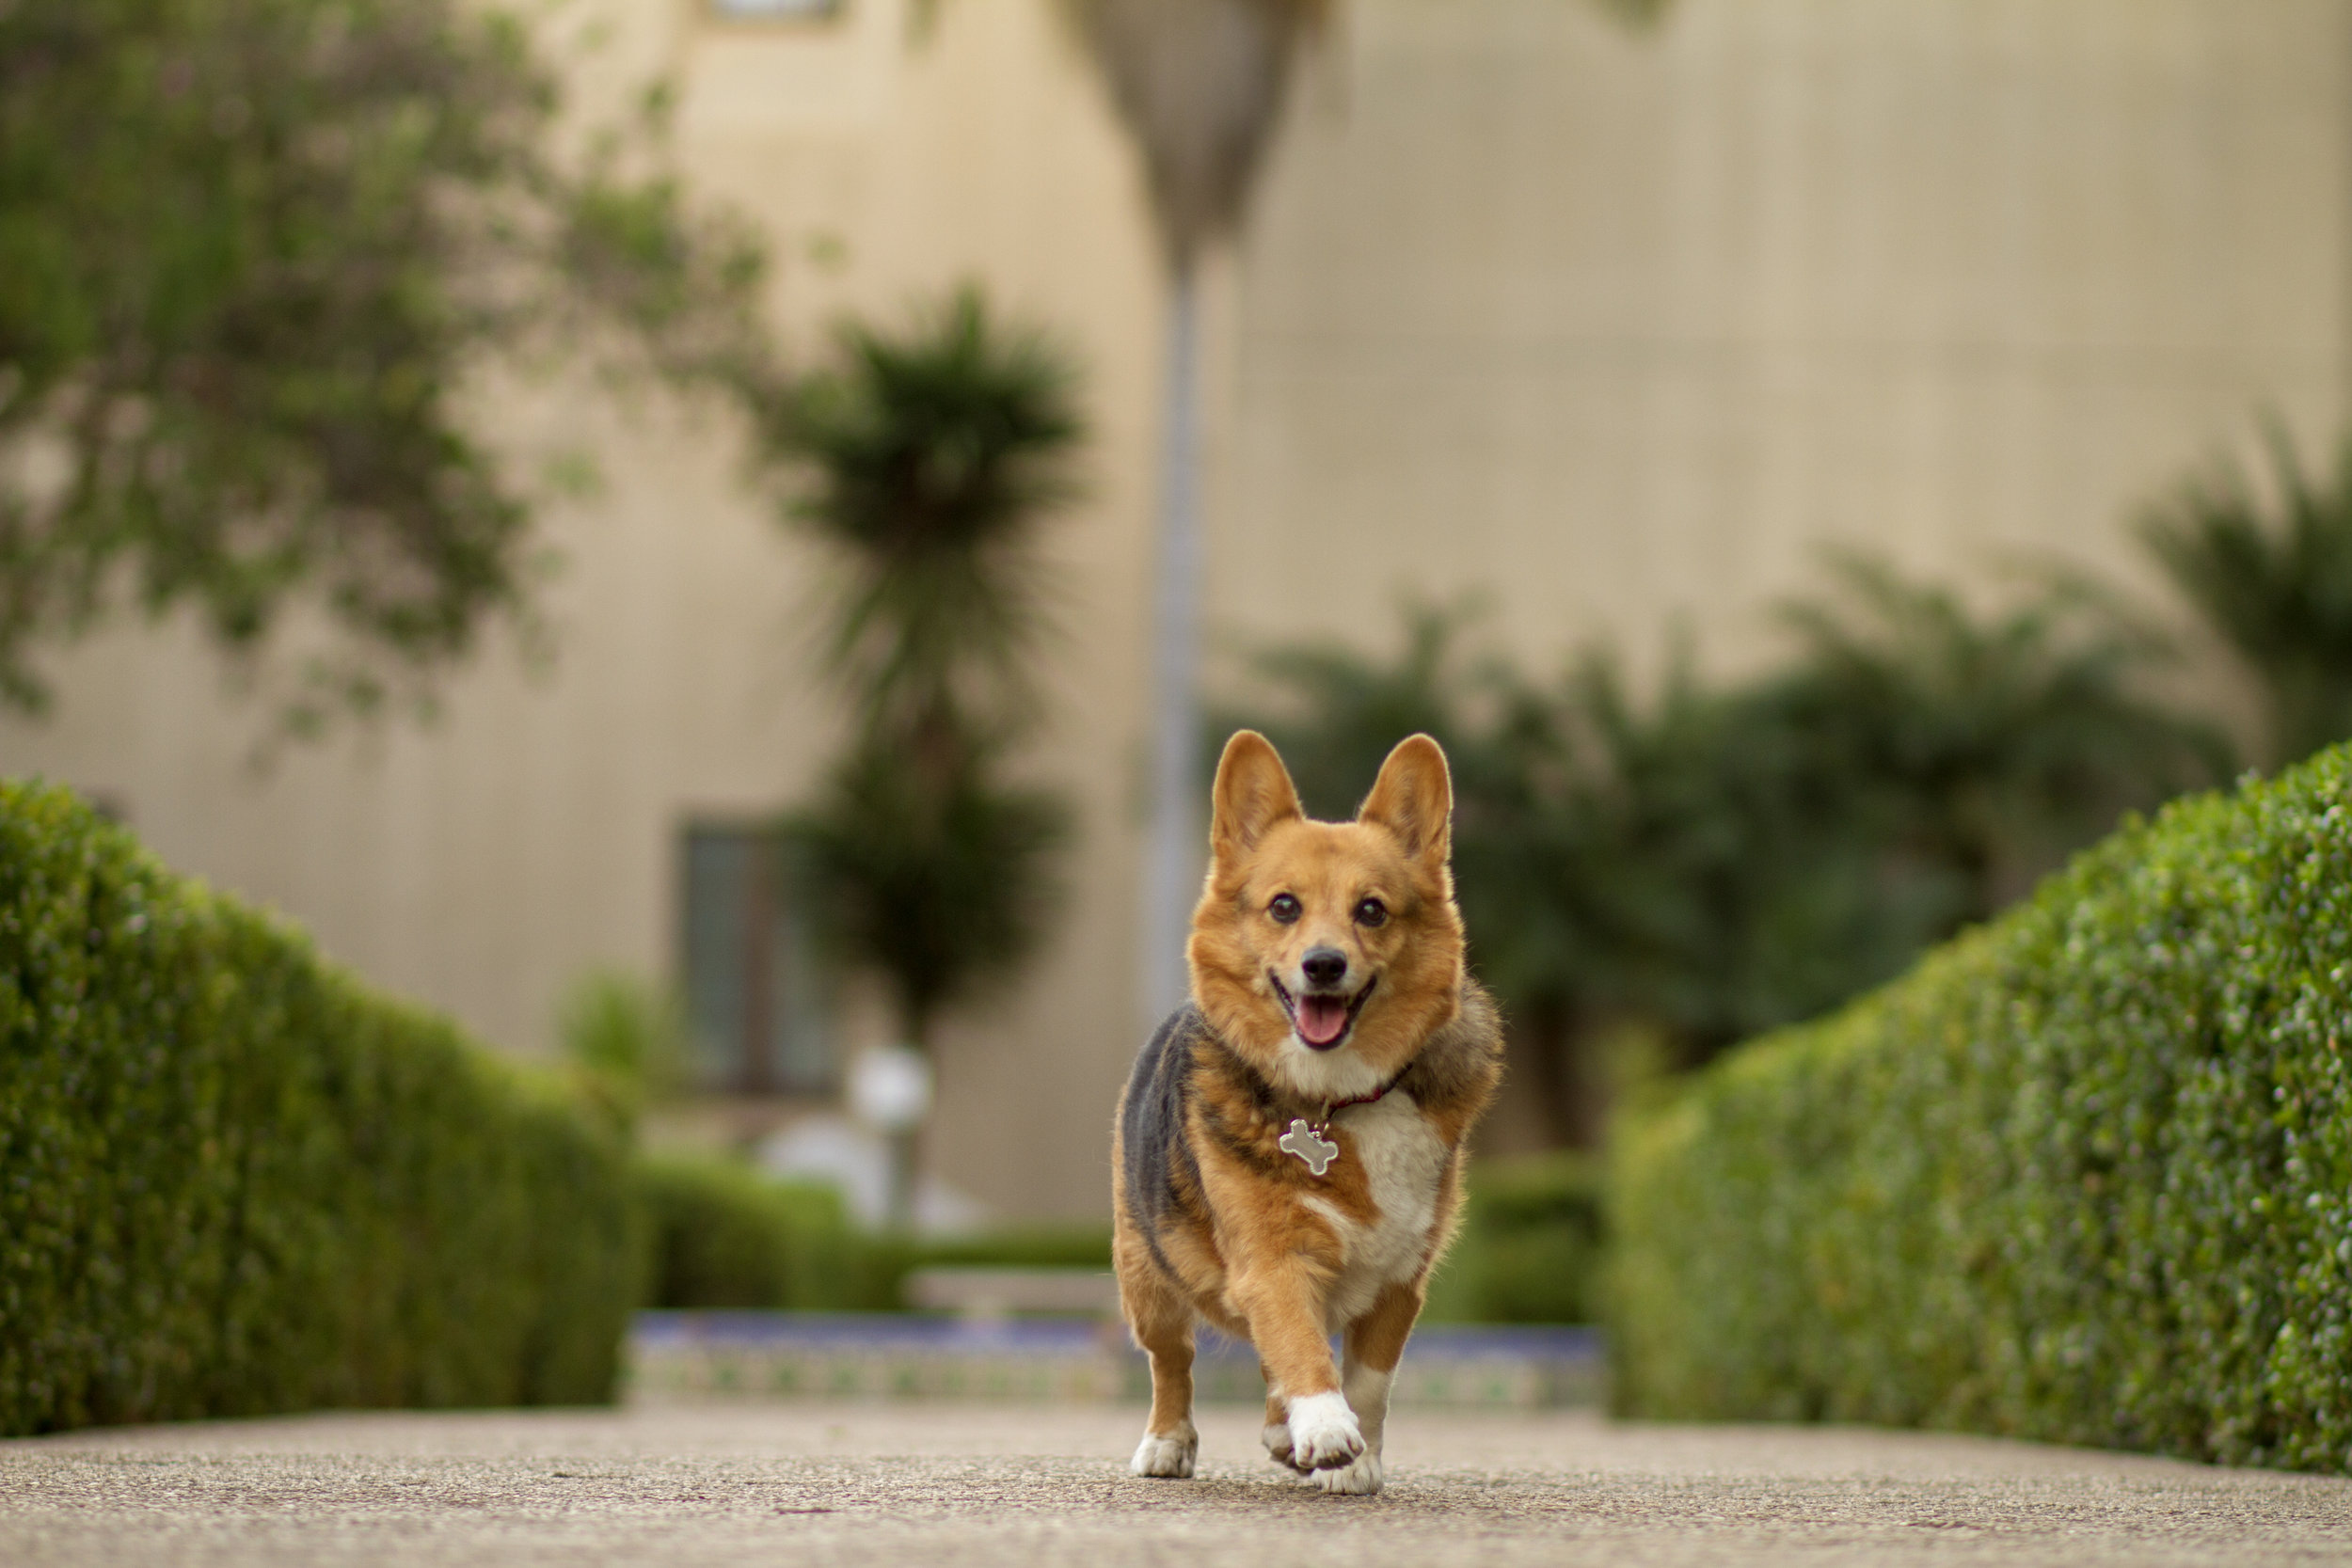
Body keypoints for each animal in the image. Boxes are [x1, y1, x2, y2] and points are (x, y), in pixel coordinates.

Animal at [1110, 733, 1496, 1495]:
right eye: (1284, 906)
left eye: (1372, 910)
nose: (1323, 965)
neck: (1337, 1097)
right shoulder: (1271, 1256)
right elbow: (1299, 1344)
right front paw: (1323, 1425)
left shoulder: (1400, 1280)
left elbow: (1367, 1380)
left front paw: (1356, 1456)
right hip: (1146, 1275)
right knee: (1172, 1363)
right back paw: (1168, 1443)